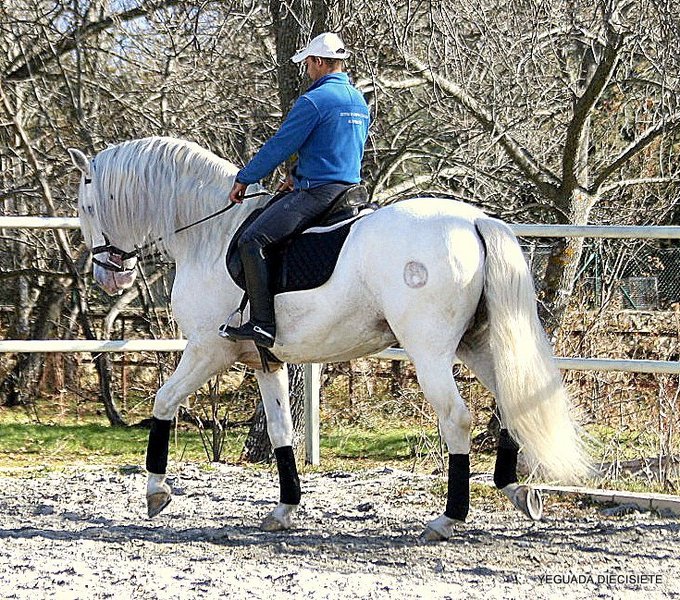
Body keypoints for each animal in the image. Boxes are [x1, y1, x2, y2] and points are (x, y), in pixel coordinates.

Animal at [69, 136, 588, 540]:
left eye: (88, 207)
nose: (108, 277)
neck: (210, 235)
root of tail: (473, 221)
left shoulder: (207, 348)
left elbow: (164, 400)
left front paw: (156, 492)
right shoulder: (265, 360)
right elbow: (281, 430)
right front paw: (284, 509)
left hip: (430, 351)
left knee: (456, 419)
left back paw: (448, 518)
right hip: (476, 344)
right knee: (513, 401)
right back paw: (518, 490)